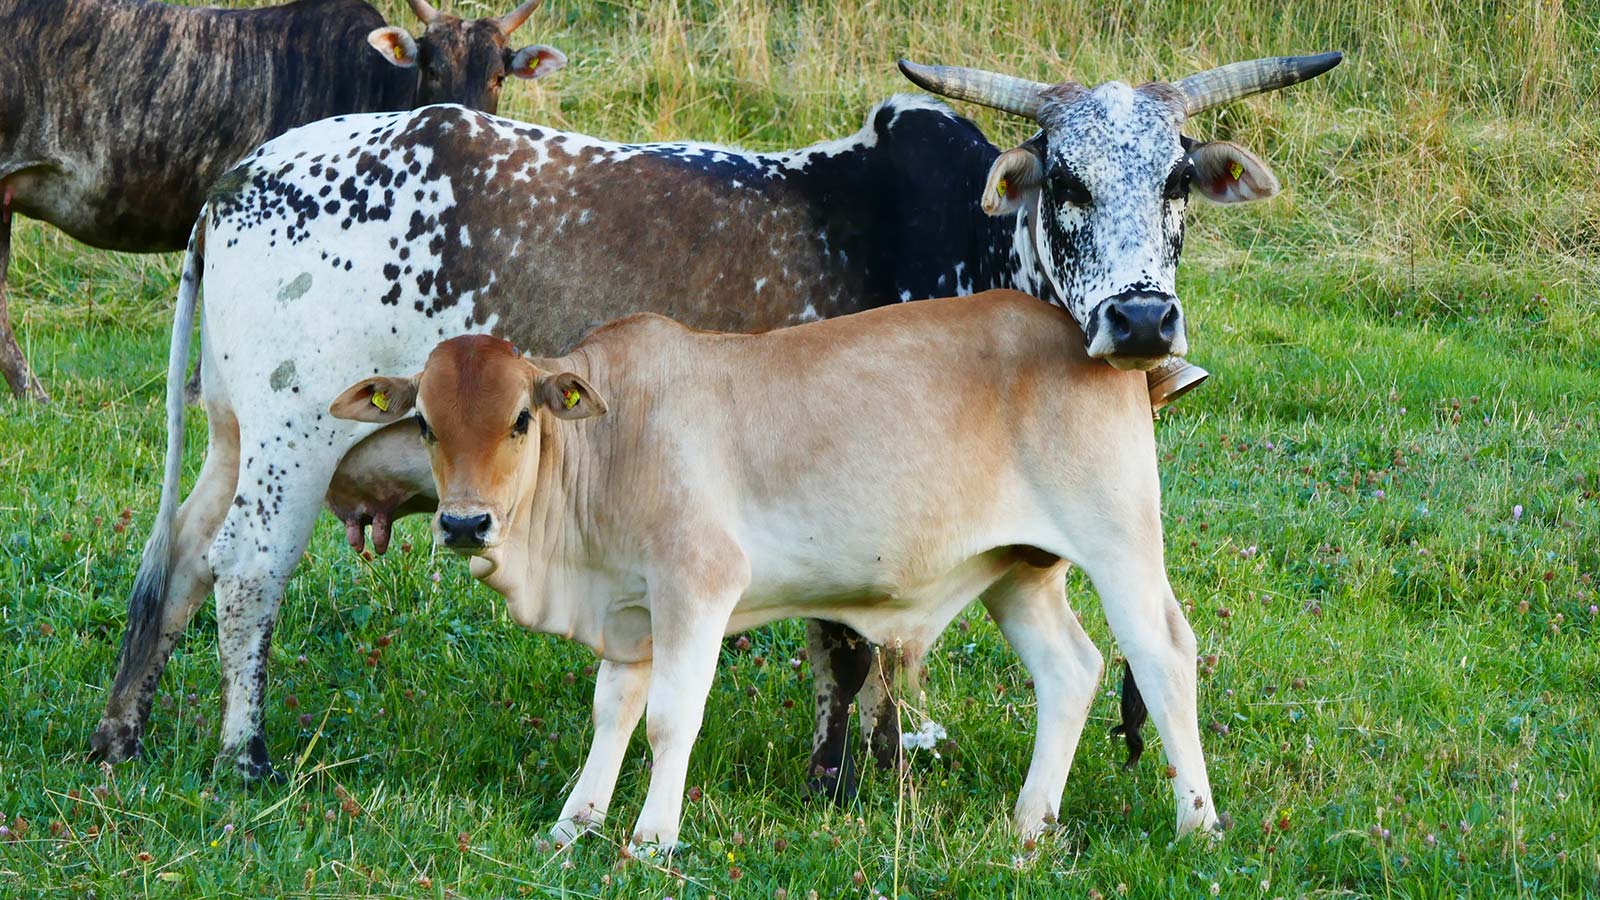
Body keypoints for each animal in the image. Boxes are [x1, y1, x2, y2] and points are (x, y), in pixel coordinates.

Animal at [325, 293, 1206, 848]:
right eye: (426, 424)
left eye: (519, 420)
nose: (463, 523)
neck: (609, 444)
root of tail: (1098, 345)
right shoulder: (633, 614)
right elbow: (612, 715)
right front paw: (574, 823)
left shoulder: (697, 586)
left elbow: (669, 720)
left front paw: (652, 837)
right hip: (1019, 572)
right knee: (1071, 669)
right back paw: (1030, 821)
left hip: (1119, 540)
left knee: (1163, 656)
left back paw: (1196, 823)